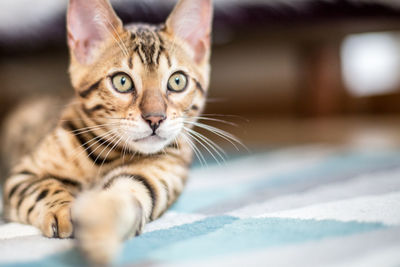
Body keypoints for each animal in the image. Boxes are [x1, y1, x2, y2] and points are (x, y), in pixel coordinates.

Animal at [1, 0, 214, 264]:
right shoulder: (23, 174)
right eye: (122, 82)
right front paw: (63, 210)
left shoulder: (156, 176)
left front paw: (98, 228)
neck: (104, 155)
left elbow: (125, 196)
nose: (155, 118)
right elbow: (44, 188)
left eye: (177, 81)